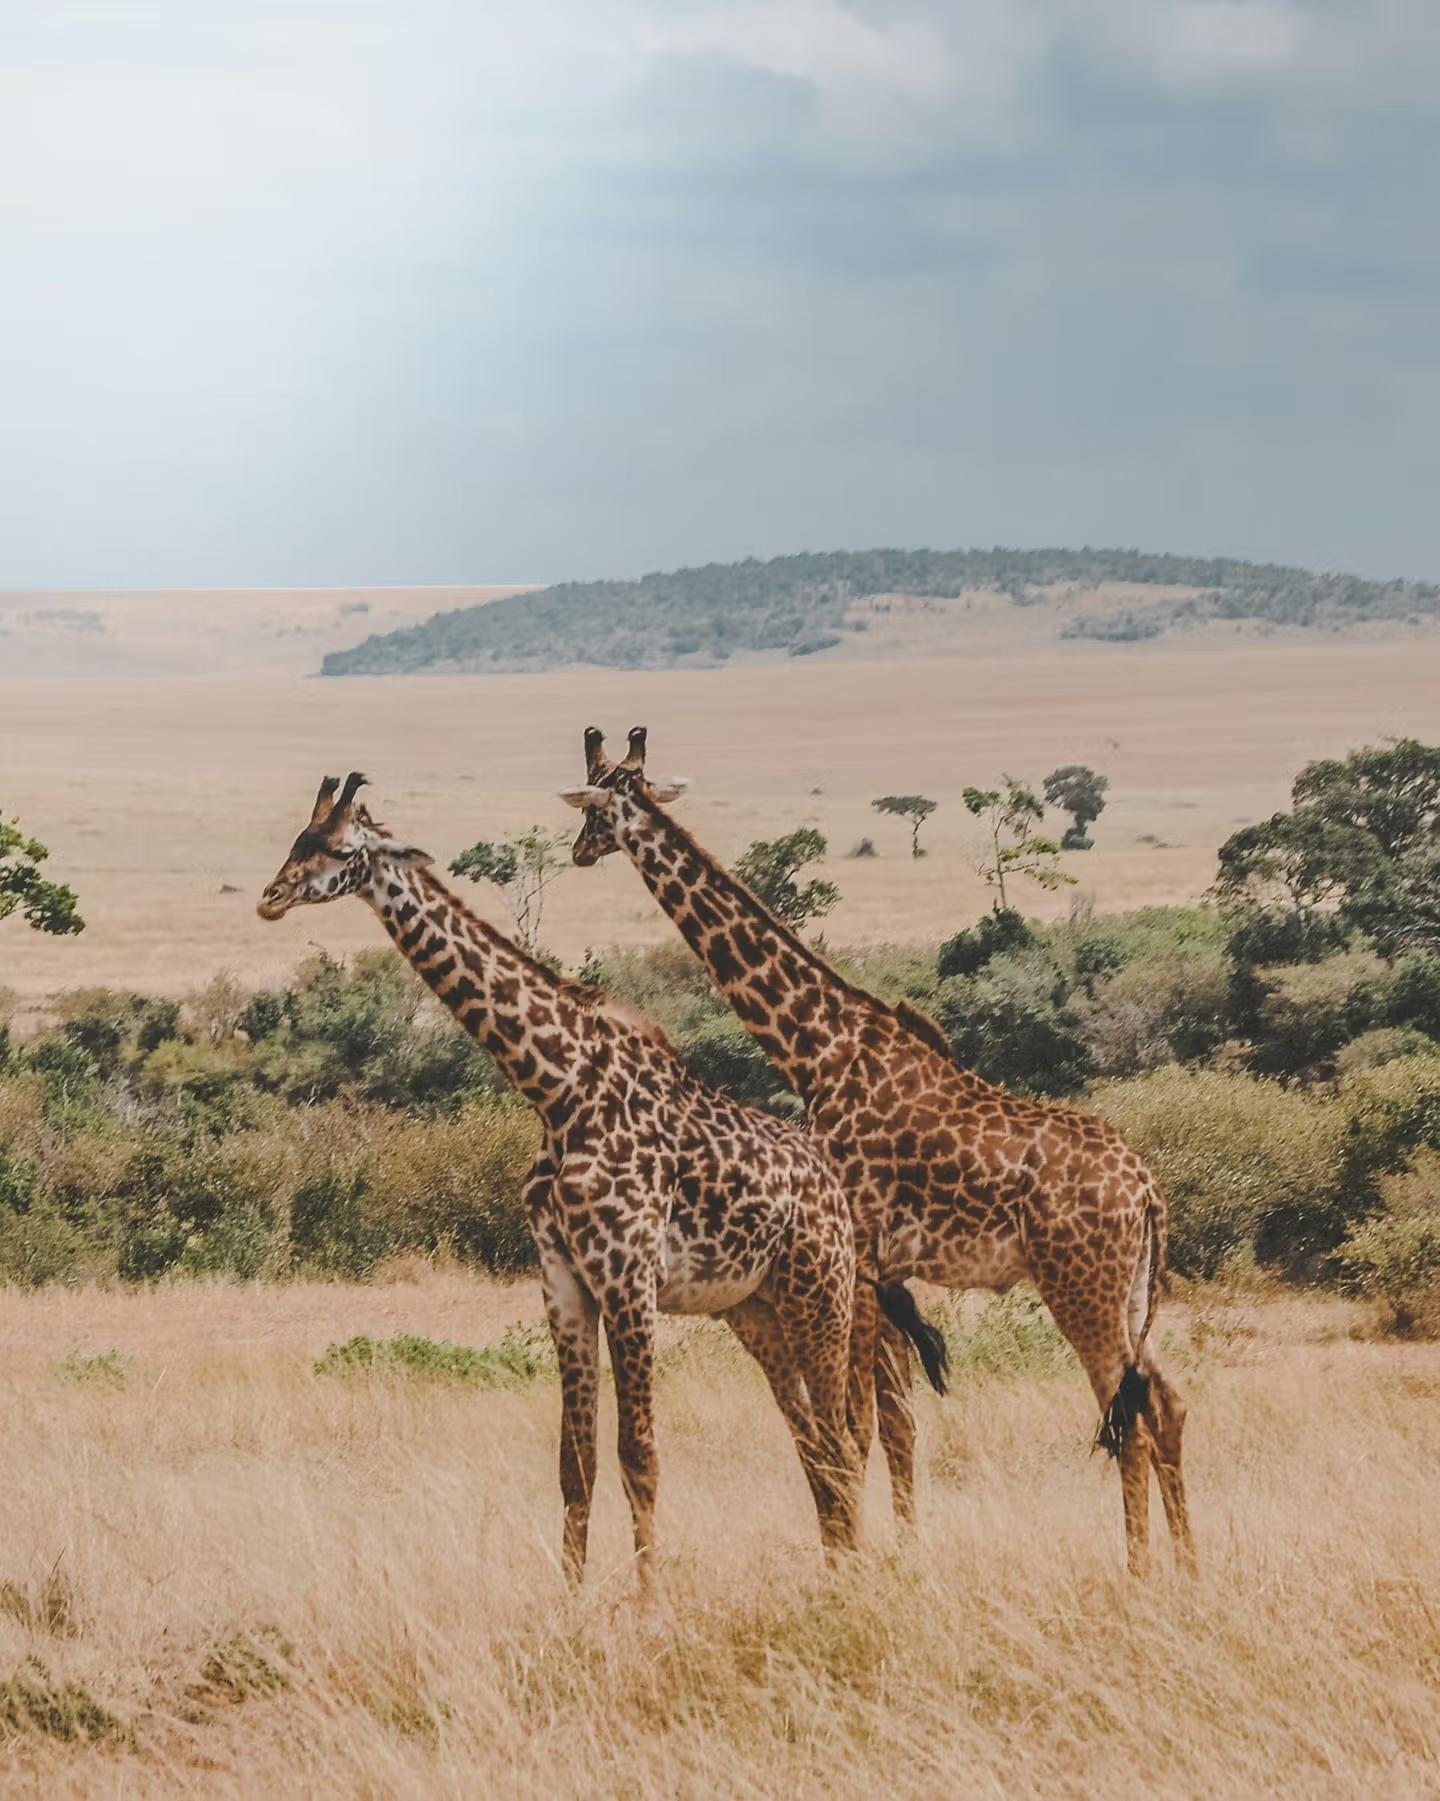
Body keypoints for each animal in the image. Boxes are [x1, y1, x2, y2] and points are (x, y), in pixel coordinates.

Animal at [257, 771, 874, 1583]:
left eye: (337, 847)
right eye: (297, 837)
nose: (270, 897)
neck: (557, 1087)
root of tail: (836, 1193)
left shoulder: (629, 1278)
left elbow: (639, 1454)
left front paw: (648, 1599)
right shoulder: (564, 1282)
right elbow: (573, 1464)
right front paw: (571, 1599)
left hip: (819, 1293)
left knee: (843, 1442)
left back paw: (854, 1580)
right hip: (755, 1308)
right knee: (816, 1445)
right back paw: (836, 1576)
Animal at [561, 730, 1194, 1573]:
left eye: (596, 805)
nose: (576, 851)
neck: (817, 1045)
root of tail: (1148, 1192)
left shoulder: (856, 1254)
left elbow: (858, 1428)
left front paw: (861, 1559)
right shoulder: (883, 1269)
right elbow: (892, 1422)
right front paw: (898, 1551)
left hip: (1081, 1289)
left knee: (1125, 1420)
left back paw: (1138, 1571)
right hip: (1126, 1293)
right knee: (1166, 1402)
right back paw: (1188, 1566)